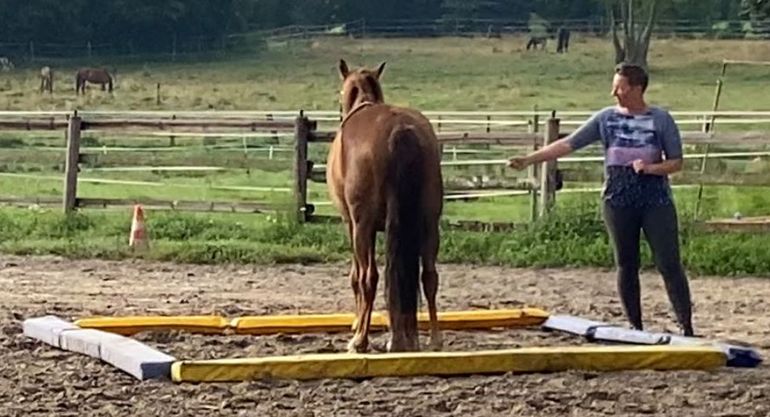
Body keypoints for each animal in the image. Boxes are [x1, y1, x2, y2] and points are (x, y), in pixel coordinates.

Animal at [326, 57, 444, 352]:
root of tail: (401, 130)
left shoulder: (352, 225)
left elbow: (357, 276)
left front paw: (358, 327)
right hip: (429, 224)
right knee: (429, 276)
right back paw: (433, 339)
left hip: (363, 226)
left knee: (370, 278)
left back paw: (360, 340)